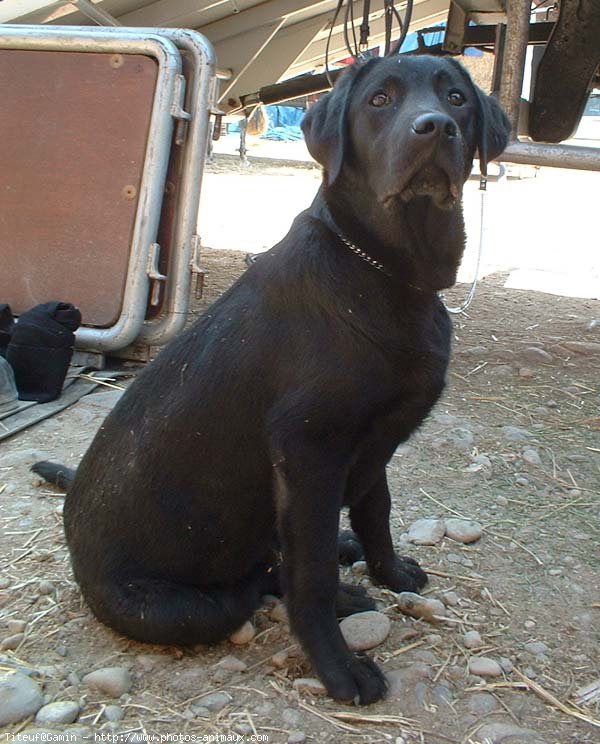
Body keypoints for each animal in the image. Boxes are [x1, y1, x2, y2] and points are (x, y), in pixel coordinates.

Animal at [32, 56, 508, 704]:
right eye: (379, 100)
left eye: (456, 98)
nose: (434, 127)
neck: (390, 275)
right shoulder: (307, 451)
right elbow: (310, 575)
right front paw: (339, 666)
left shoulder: (373, 444)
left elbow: (376, 512)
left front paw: (388, 571)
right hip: (184, 606)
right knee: (251, 585)